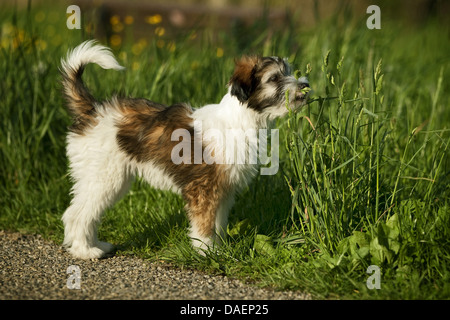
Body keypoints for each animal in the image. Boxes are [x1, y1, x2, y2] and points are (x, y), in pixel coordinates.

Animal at [60, 40, 310, 260]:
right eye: (275, 78)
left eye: (289, 72)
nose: (304, 85)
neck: (240, 119)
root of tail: (94, 110)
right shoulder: (204, 189)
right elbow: (204, 224)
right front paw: (207, 252)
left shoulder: (223, 190)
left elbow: (218, 223)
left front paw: (219, 249)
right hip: (103, 176)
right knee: (77, 214)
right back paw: (85, 250)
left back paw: (96, 244)